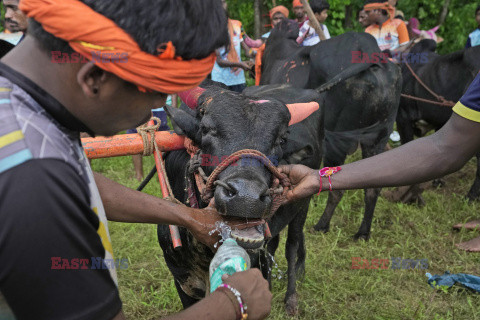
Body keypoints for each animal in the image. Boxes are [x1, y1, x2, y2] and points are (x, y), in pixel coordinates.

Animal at [158, 81, 322, 314]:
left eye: (282, 139)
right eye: (205, 129)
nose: (247, 197)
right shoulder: (183, 280)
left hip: (303, 205)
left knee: (292, 246)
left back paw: (291, 299)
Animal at [260, 19, 404, 240]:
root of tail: (371, 54)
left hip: (336, 144)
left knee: (335, 187)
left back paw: (322, 225)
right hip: (379, 138)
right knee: (372, 188)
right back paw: (363, 232)